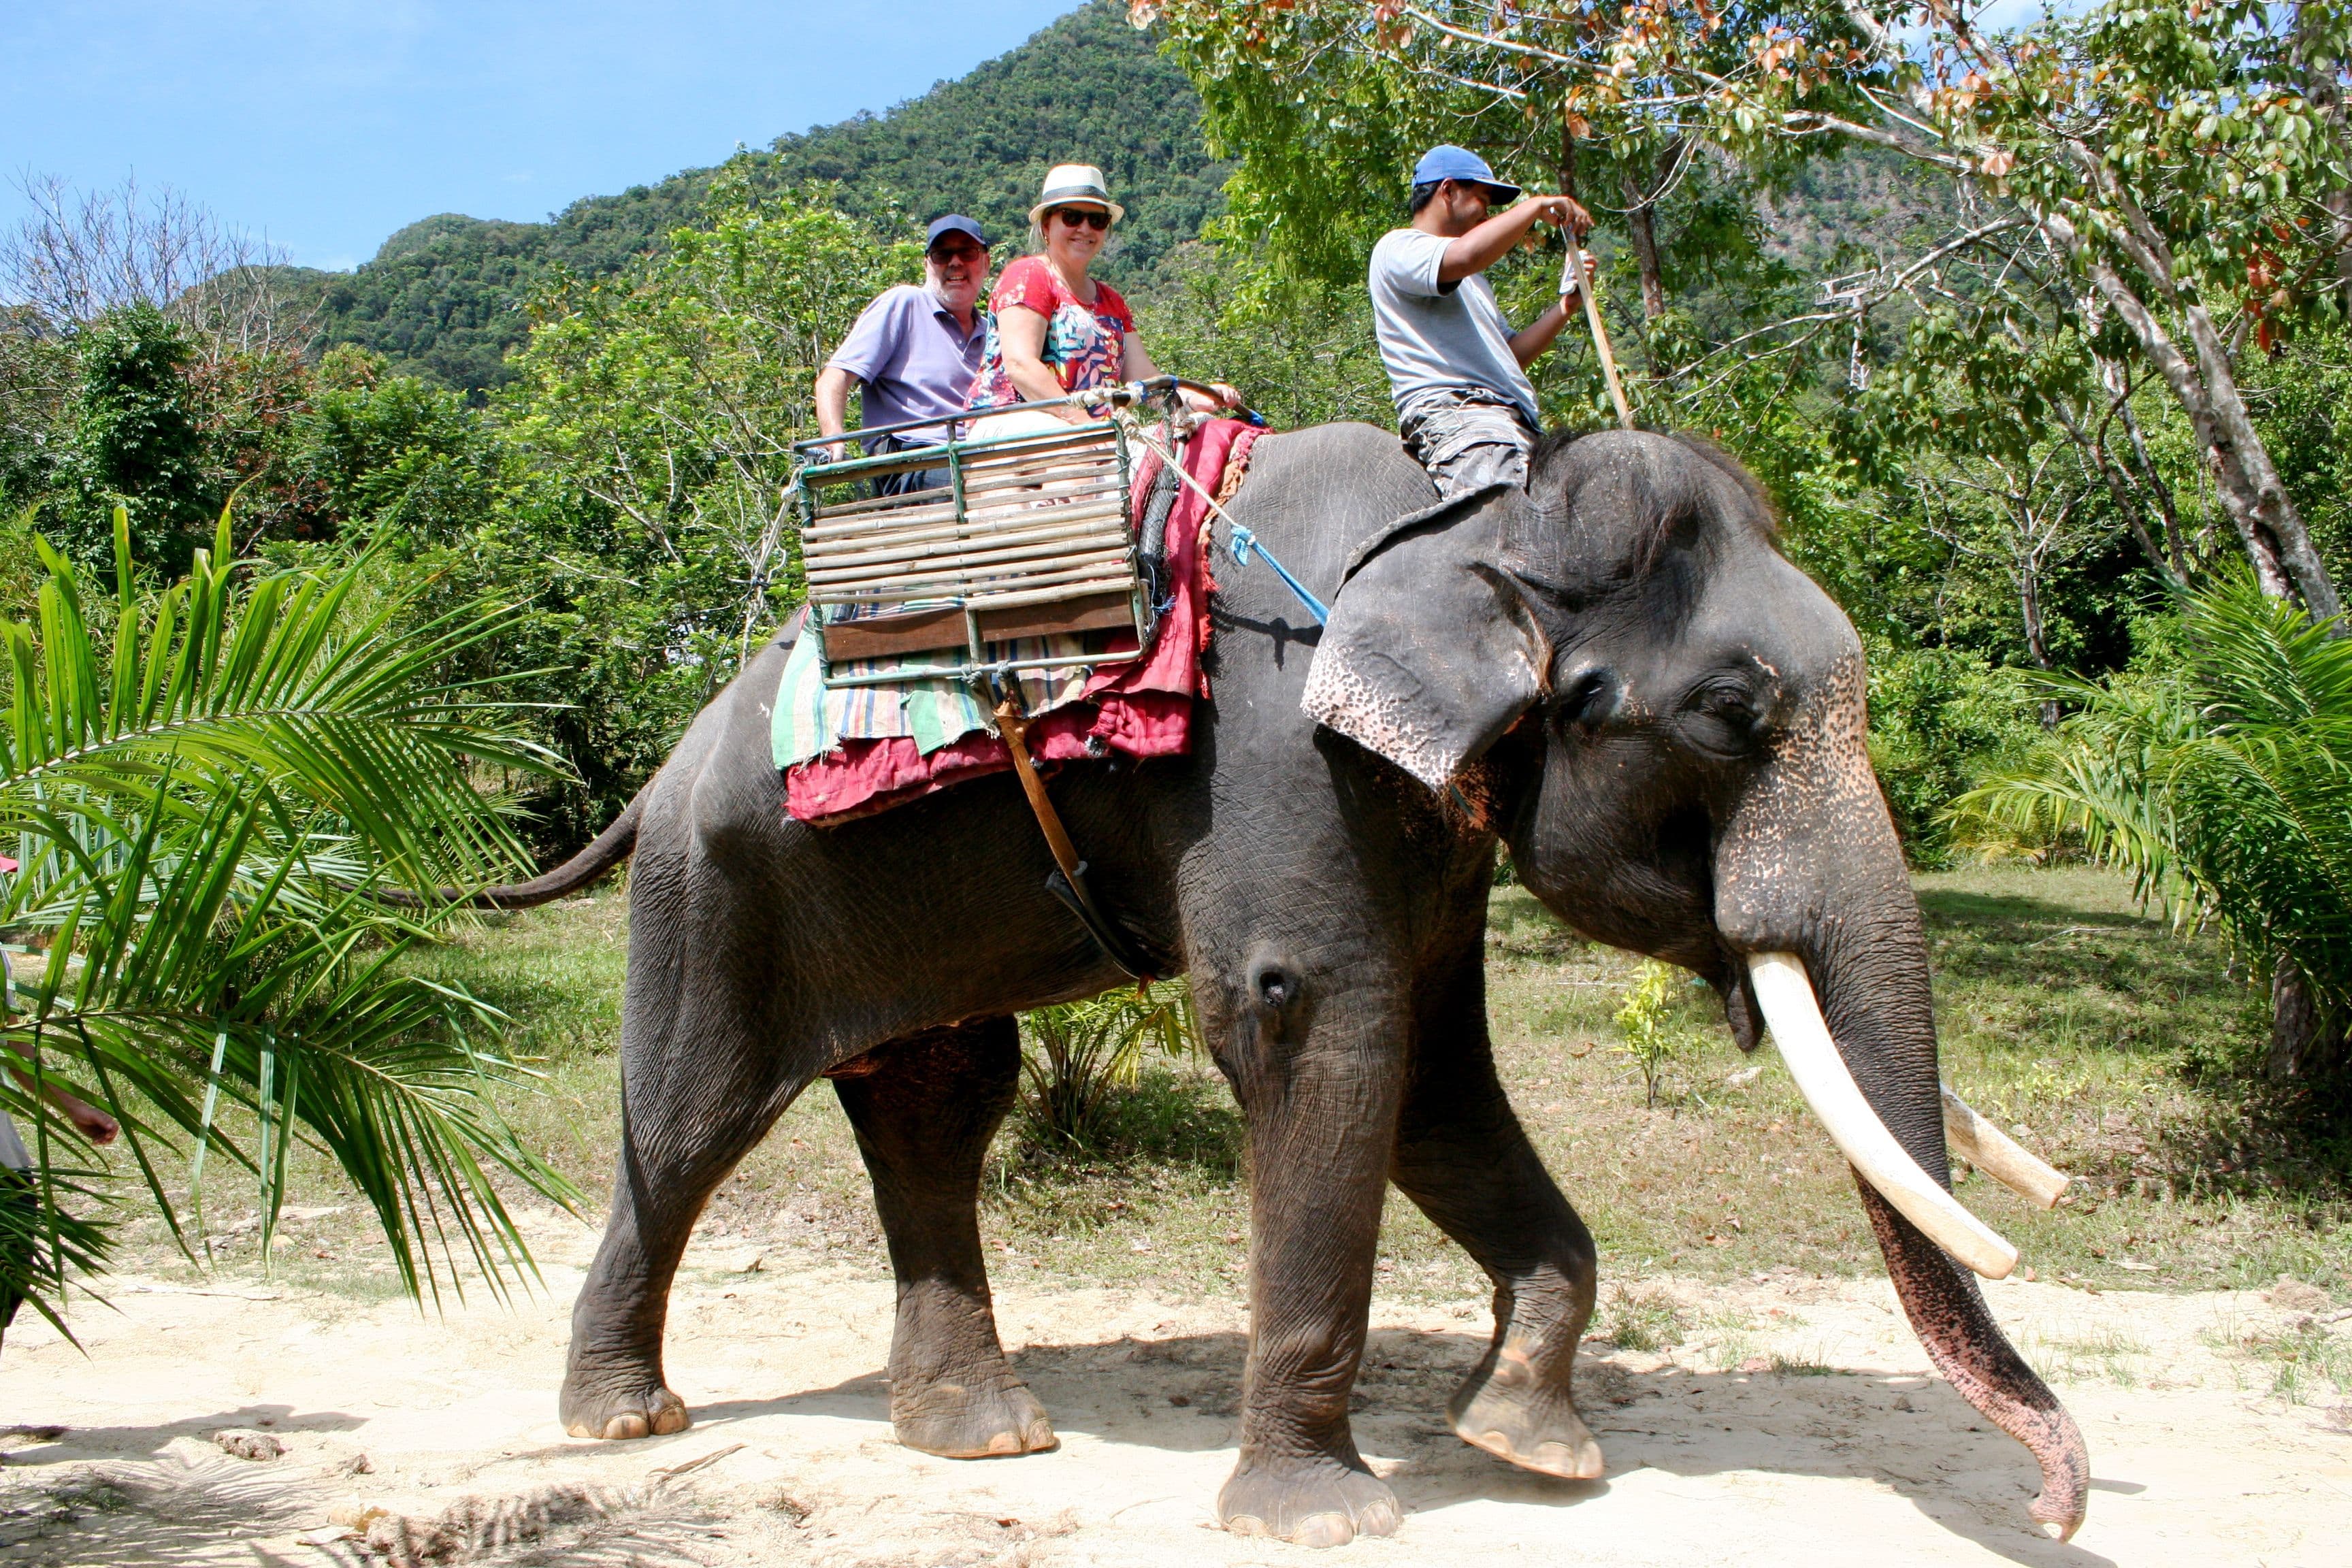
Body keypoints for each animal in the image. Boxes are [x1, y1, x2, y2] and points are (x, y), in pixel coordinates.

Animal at [480, 423, 2089, 1546]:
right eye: (1731, 714)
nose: (2057, 1508)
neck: (1468, 521)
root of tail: (661, 766)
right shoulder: (1279, 752)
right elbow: (1316, 1028)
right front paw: (1325, 1518)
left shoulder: (1424, 817)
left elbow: (1433, 1075)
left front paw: (1529, 1441)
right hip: (712, 891)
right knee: (692, 1120)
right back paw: (627, 1419)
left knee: (939, 1103)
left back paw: (982, 1436)